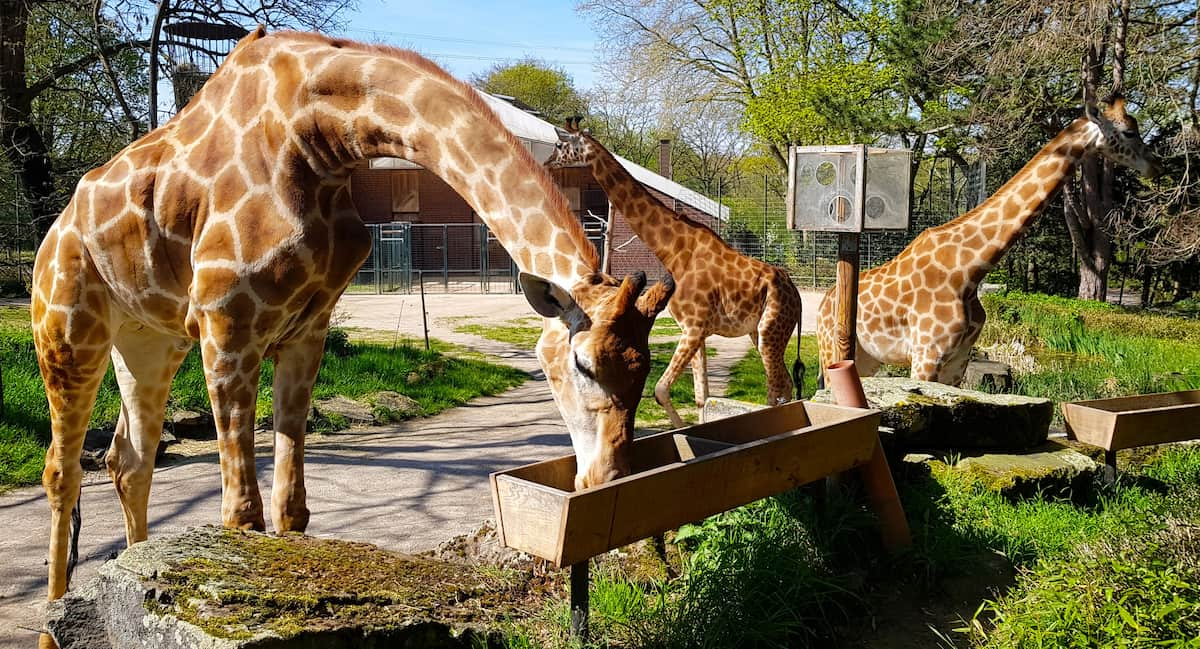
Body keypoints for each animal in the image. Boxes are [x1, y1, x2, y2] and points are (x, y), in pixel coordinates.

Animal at [549, 118, 801, 427]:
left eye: (559, 144)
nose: (547, 163)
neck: (674, 251)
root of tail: (796, 296)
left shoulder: (693, 328)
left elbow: (660, 390)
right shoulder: (696, 330)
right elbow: (701, 398)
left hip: (770, 331)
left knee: (777, 388)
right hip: (760, 331)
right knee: (783, 385)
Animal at [816, 95, 1161, 383]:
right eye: (1129, 132)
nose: (1156, 165)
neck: (970, 270)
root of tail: (824, 303)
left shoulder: (959, 359)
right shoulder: (926, 354)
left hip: (868, 358)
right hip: (832, 348)